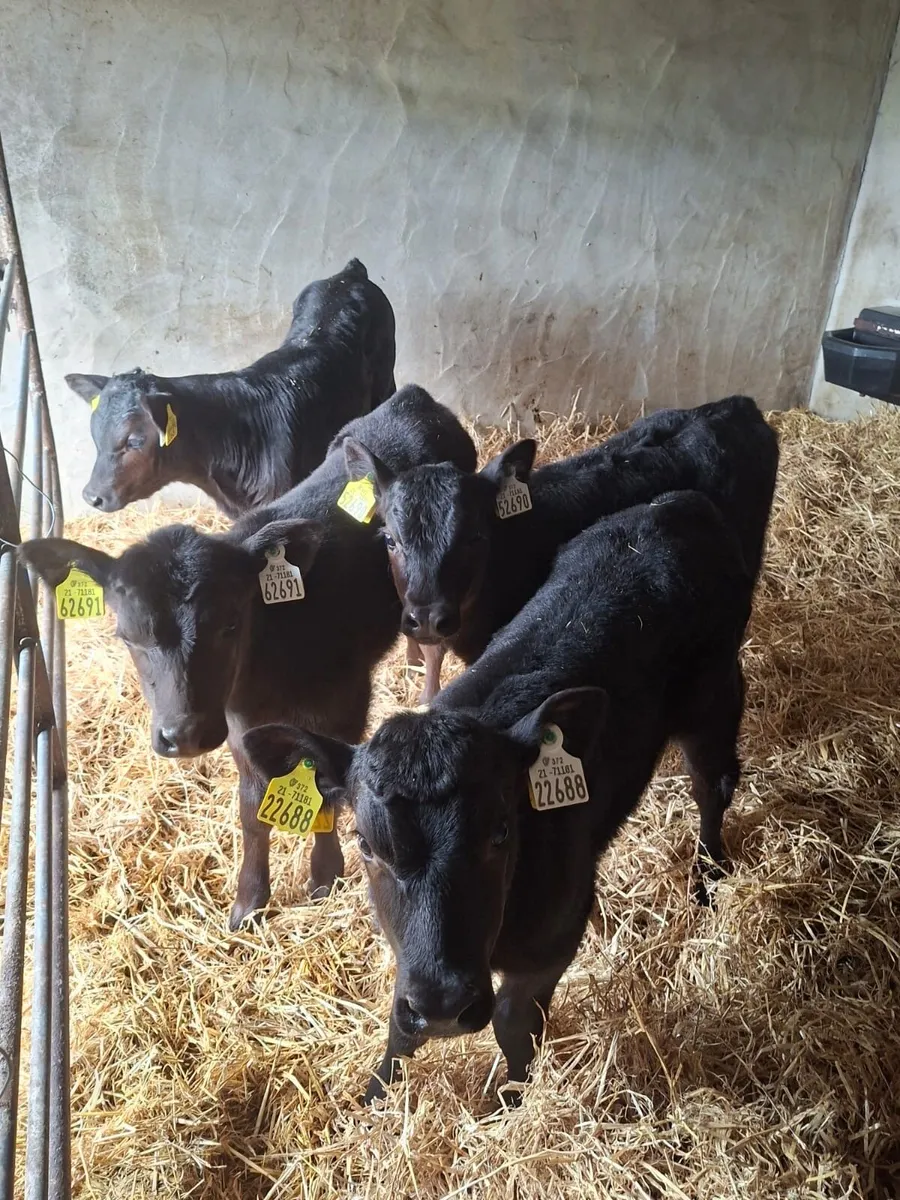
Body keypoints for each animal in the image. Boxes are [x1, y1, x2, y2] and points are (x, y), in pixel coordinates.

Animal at [20, 386, 475, 930]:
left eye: (231, 623)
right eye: (128, 636)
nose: (184, 735)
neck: (266, 674)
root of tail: (411, 399)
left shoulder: (345, 706)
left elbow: (323, 783)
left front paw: (324, 874)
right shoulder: (240, 728)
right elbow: (251, 806)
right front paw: (250, 899)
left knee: (433, 640)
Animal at [242, 490, 760, 1103]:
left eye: (501, 831)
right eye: (366, 845)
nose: (443, 1007)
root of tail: (678, 505)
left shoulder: (558, 929)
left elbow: (514, 1022)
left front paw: (512, 1099)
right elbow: (399, 1024)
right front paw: (374, 1097)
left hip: (715, 695)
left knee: (714, 785)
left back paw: (707, 877)